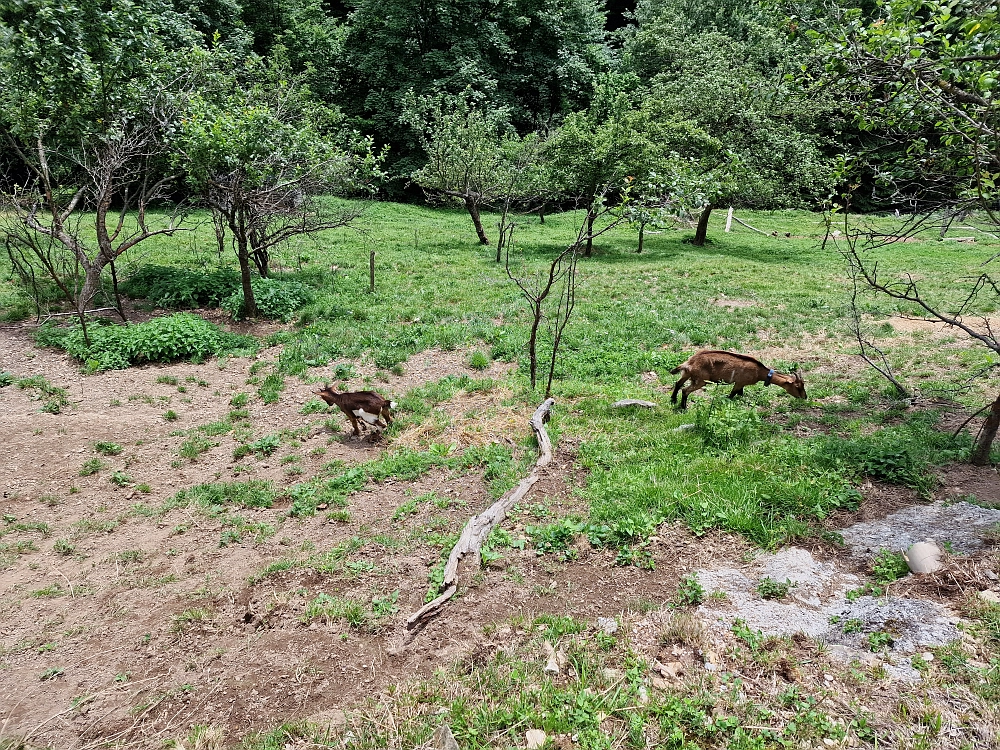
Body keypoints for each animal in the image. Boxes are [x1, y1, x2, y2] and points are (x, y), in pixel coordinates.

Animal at [672, 352, 804, 412]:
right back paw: (683, 408)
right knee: (685, 390)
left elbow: (740, 394)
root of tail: (690, 363)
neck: (759, 371)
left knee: (678, 383)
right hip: (701, 380)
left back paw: (673, 400)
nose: (805, 397)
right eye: (798, 387)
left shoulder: (741, 384)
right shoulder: (739, 382)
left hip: (687, 374)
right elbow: (731, 395)